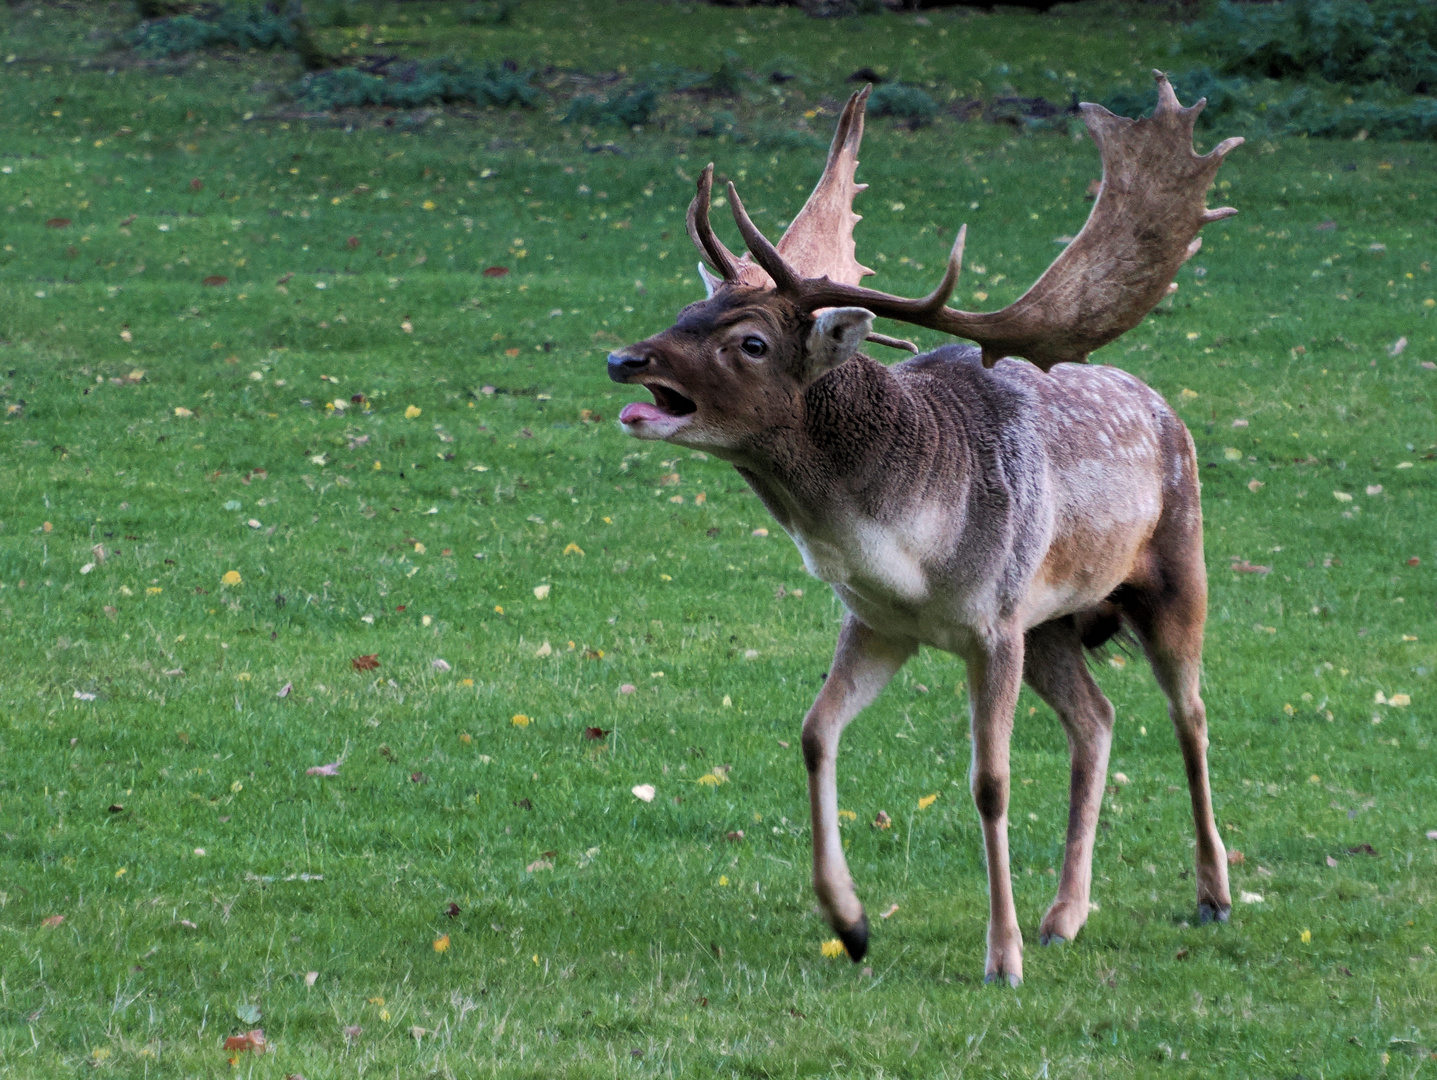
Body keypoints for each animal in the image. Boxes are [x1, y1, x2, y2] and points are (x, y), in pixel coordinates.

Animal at [606, 73, 1247, 988]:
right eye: (689, 304)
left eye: (751, 342)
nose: (625, 360)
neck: (905, 552)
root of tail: (1163, 404)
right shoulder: (882, 622)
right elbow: (814, 733)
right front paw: (850, 922)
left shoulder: (994, 623)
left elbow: (990, 782)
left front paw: (1000, 957)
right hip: (1053, 625)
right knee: (1096, 719)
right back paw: (1065, 915)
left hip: (1172, 567)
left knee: (1189, 716)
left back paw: (1211, 894)